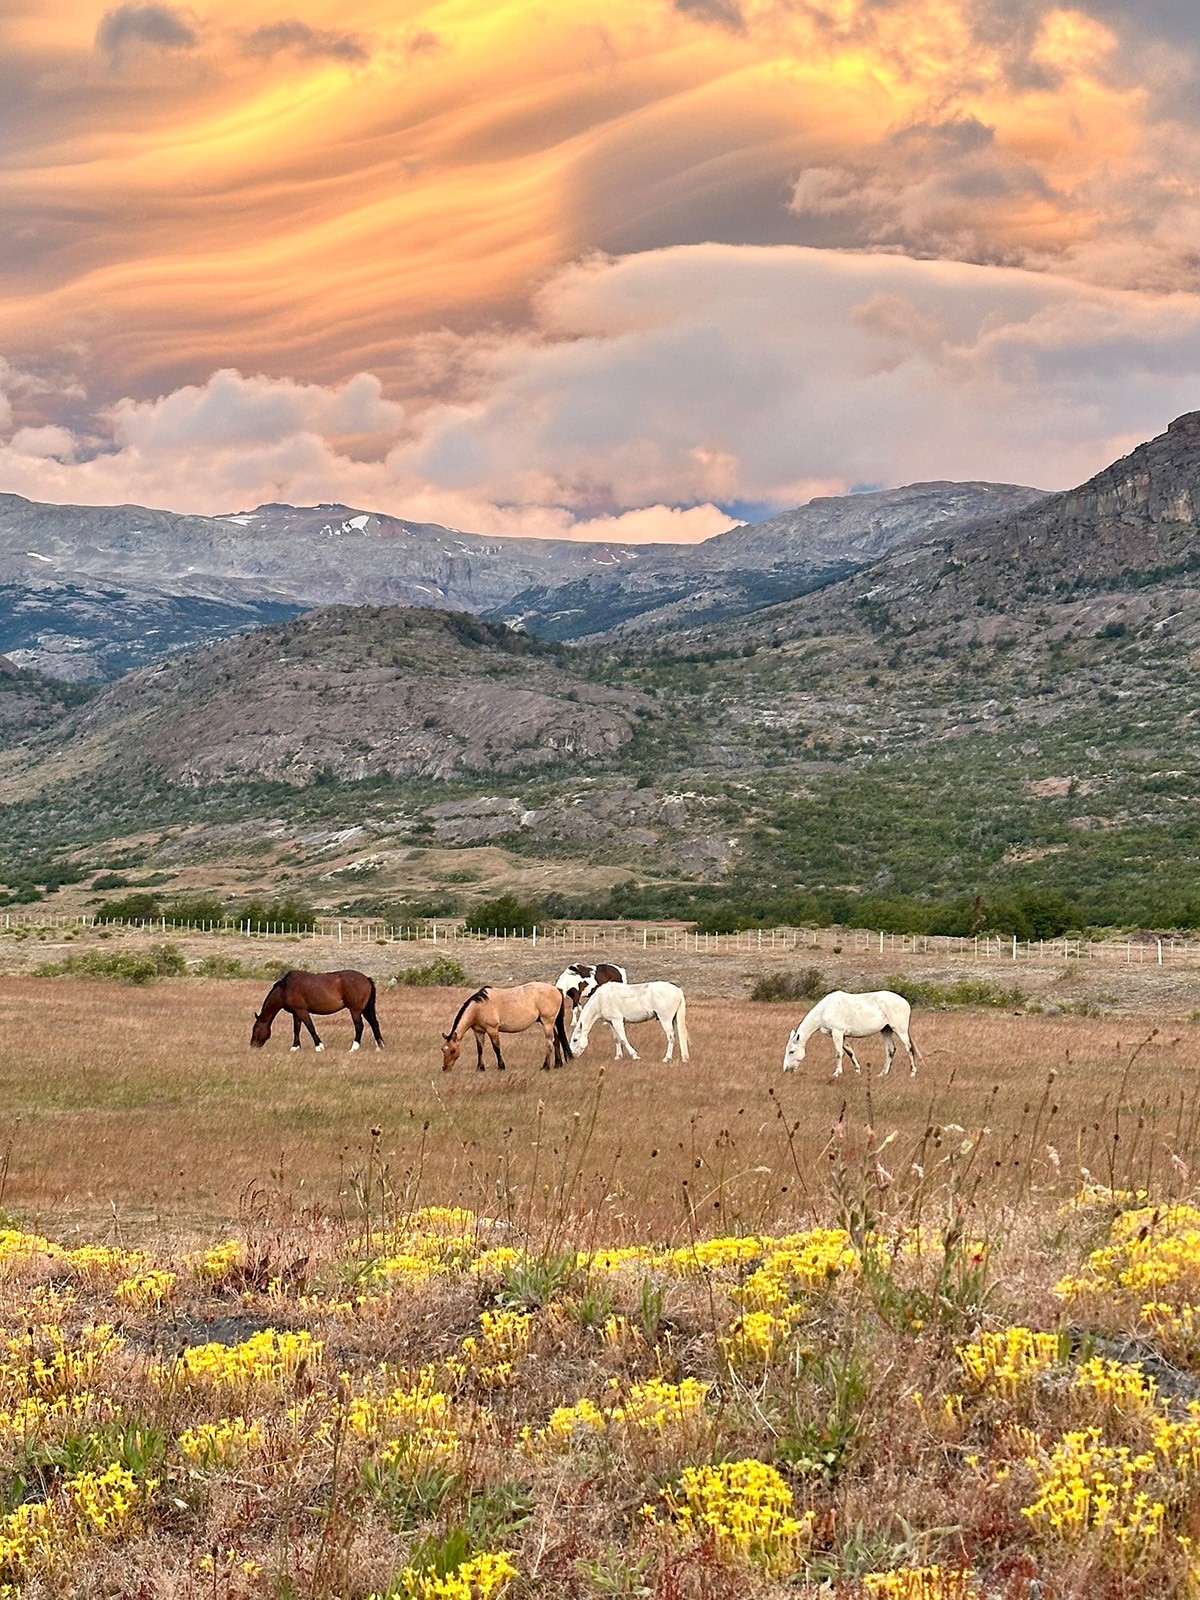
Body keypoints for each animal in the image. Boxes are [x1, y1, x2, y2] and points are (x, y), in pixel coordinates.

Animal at [251, 969, 383, 1053]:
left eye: (255, 1029)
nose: (252, 1045)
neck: (284, 988)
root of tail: (367, 978)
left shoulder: (302, 1011)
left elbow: (310, 1027)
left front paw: (319, 1046)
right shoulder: (296, 1013)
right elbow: (296, 1029)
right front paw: (295, 1047)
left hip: (355, 1010)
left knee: (359, 1026)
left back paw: (354, 1048)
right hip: (365, 1009)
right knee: (374, 1024)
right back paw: (379, 1046)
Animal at [441, 983, 572, 1072]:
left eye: (452, 1050)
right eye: (443, 1049)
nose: (445, 1068)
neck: (479, 1007)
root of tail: (556, 989)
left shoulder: (492, 1029)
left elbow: (496, 1048)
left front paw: (501, 1066)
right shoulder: (478, 1032)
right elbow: (480, 1049)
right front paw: (480, 1068)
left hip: (547, 1022)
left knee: (549, 1043)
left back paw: (545, 1066)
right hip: (550, 1022)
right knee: (556, 1039)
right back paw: (557, 1064)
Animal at [782, 990, 916, 1079]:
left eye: (792, 1051)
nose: (787, 1070)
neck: (825, 1009)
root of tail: (905, 1002)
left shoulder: (837, 1032)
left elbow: (838, 1053)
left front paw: (837, 1073)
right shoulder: (842, 1035)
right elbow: (850, 1052)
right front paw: (857, 1070)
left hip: (900, 1030)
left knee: (909, 1049)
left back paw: (913, 1072)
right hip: (886, 1030)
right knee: (890, 1050)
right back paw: (882, 1073)